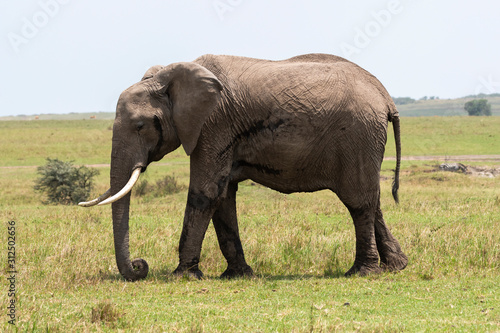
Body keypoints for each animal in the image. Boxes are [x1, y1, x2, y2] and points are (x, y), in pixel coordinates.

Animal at [80, 52, 408, 280]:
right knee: (371, 201)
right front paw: (237, 275)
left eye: (140, 126)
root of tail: (385, 97)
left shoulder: (213, 124)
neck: (170, 78)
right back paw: (396, 266)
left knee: (358, 202)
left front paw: (183, 276)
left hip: (358, 134)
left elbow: (205, 193)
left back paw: (362, 272)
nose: (139, 266)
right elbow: (223, 196)